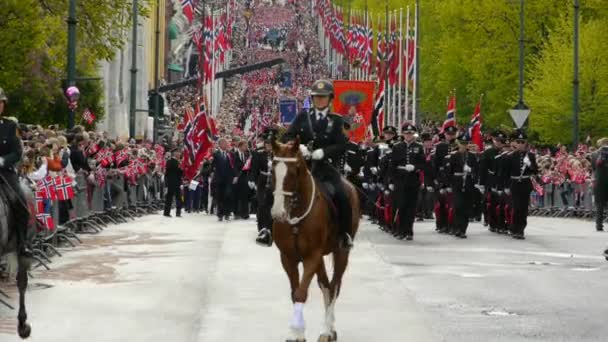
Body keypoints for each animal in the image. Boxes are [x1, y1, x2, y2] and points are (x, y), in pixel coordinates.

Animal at [270, 138, 358, 340]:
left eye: (293, 172)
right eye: (272, 170)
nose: (278, 213)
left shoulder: (312, 256)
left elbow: (301, 293)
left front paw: (295, 329)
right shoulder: (288, 258)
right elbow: (295, 292)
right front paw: (298, 334)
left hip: (341, 252)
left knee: (334, 286)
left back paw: (327, 330)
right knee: (325, 285)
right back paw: (329, 328)